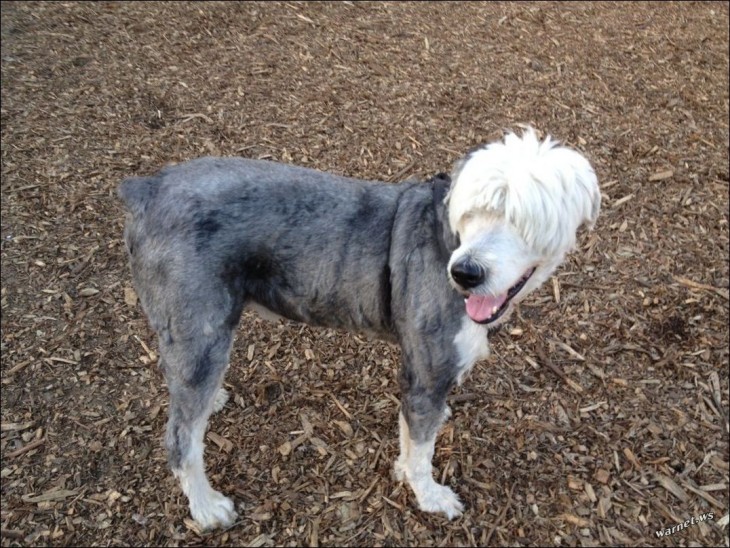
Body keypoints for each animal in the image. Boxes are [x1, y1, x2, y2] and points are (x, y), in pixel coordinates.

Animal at [118, 126, 596, 528]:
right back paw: (206, 507)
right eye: (471, 212)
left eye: (523, 220)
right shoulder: (427, 374)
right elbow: (422, 448)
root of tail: (148, 190)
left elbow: (411, 433)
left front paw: (407, 465)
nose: (465, 273)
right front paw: (429, 496)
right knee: (180, 439)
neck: (446, 240)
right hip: (200, 335)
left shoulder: (417, 375)